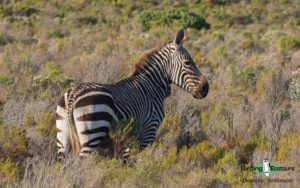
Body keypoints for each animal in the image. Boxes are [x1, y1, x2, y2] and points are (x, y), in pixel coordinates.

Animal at [57, 28, 210, 159]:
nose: (206, 88)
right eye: (187, 62)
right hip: (92, 134)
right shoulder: (149, 129)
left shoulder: (127, 139)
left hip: (62, 137)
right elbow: (133, 161)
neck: (152, 86)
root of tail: (73, 95)